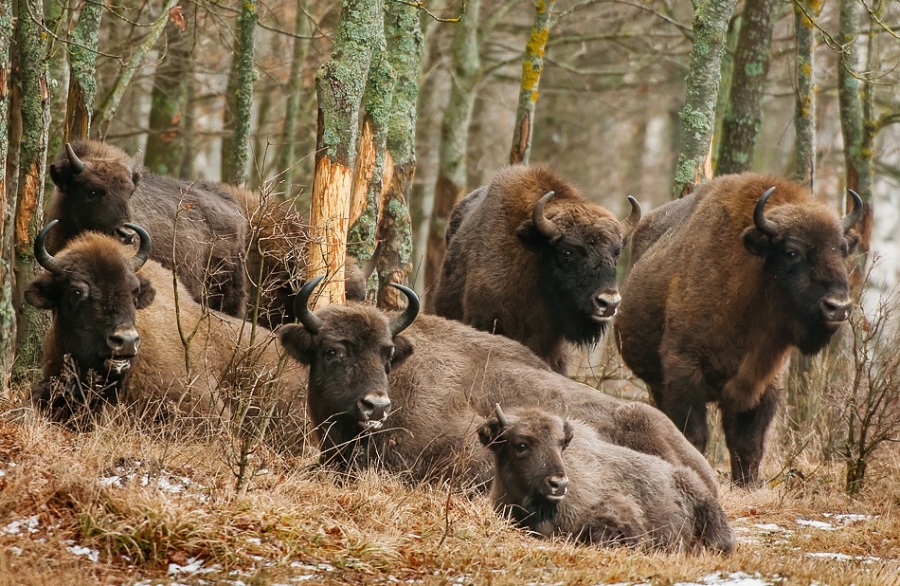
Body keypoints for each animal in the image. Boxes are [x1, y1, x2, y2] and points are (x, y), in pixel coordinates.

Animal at [615, 173, 861, 486]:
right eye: (792, 252)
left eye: (842, 249)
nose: (838, 307)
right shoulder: (684, 371)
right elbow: (694, 436)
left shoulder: (763, 385)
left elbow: (748, 444)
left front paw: (746, 485)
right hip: (656, 381)